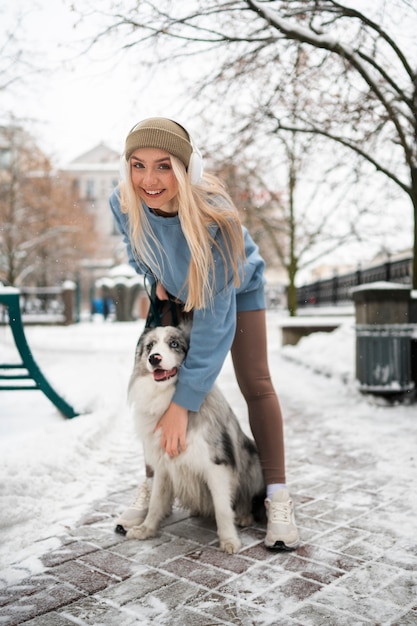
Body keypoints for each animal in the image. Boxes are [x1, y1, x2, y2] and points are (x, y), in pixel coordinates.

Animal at [125, 322, 264, 552]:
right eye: (150, 346)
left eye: (174, 344)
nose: (154, 358)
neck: (168, 400)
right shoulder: (163, 466)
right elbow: (155, 502)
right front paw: (146, 529)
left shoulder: (216, 464)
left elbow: (222, 508)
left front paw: (229, 540)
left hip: (252, 459)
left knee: (245, 497)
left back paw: (244, 516)